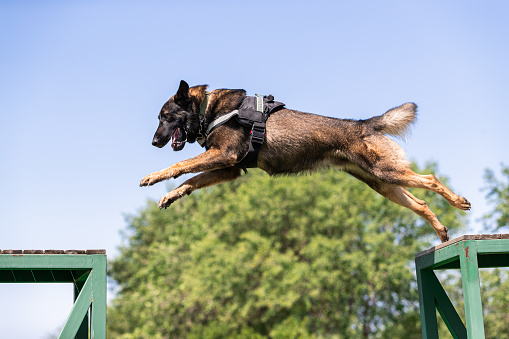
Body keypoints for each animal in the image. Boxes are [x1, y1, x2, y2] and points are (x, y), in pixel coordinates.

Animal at [141, 80, 470, 243]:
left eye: (165, 117)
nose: (154, 142)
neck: (209, 109)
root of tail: (364, 124)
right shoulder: (230, 168)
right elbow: (190, 180)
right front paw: (171, 195)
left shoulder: (224, 156)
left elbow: (181, 167)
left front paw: (154, 176)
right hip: (382, 183)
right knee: (420, 203)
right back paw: (441, 230)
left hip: (386, 172)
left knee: (431, 180)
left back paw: (459, 202)